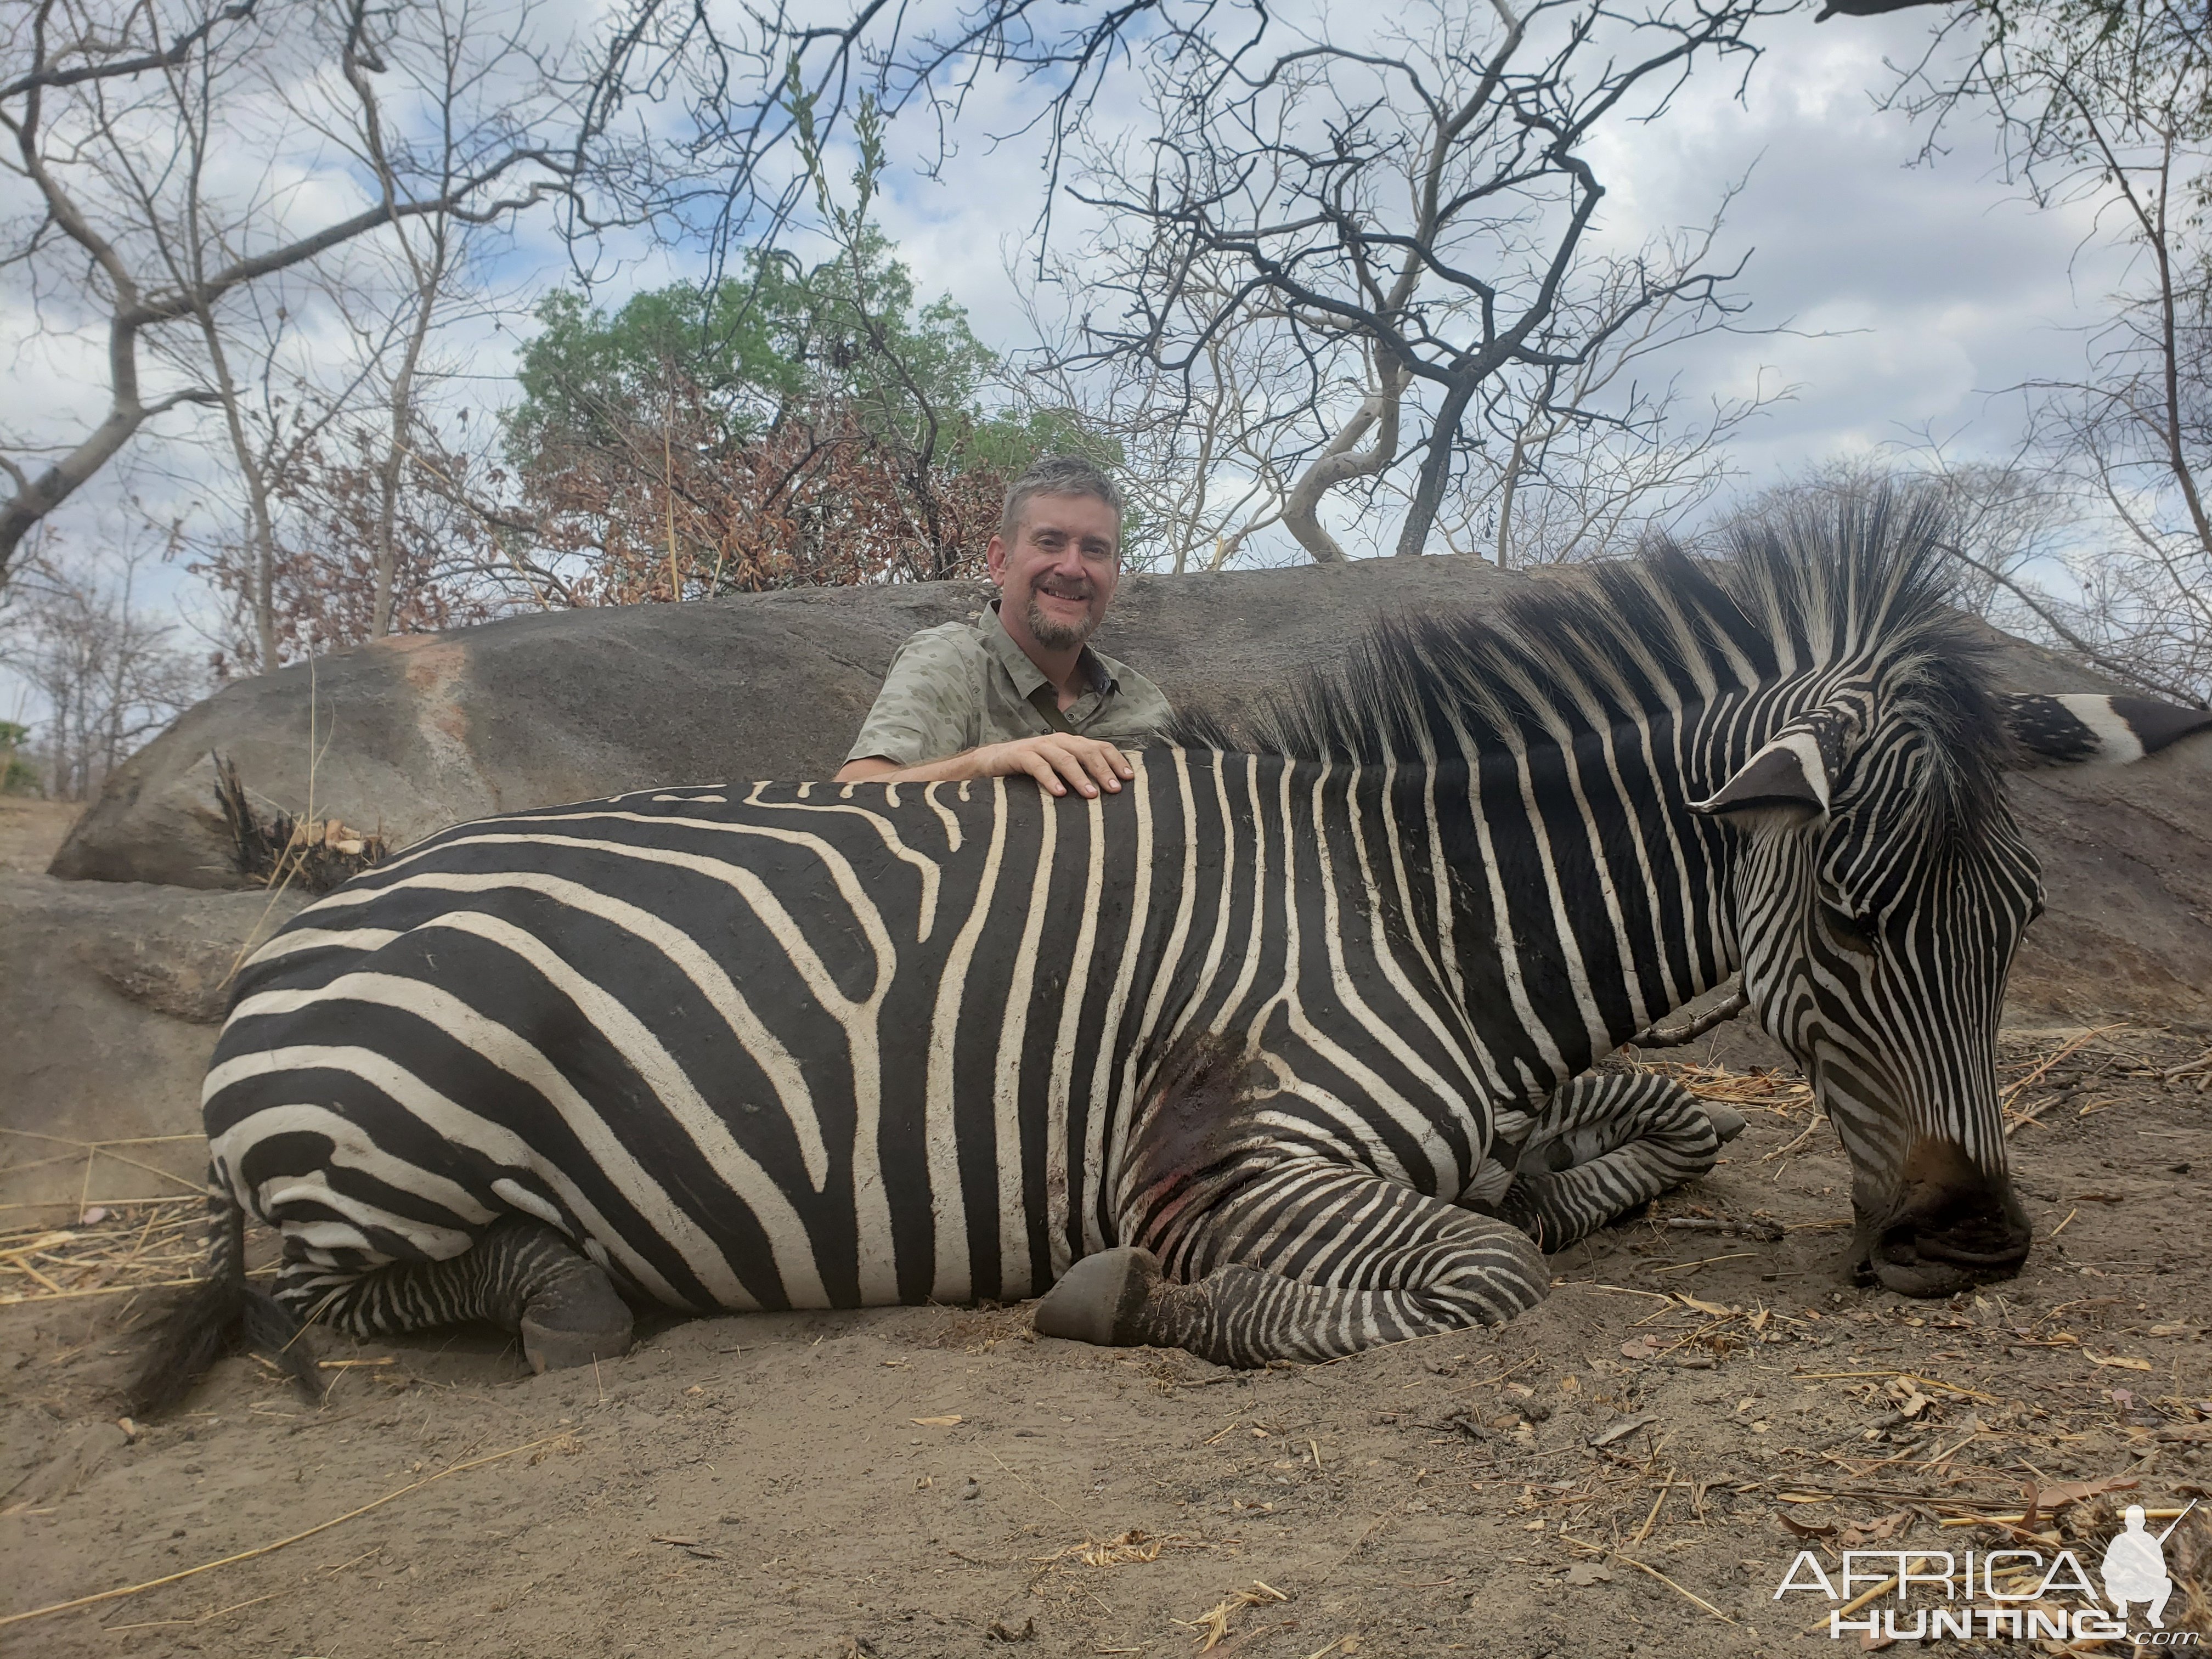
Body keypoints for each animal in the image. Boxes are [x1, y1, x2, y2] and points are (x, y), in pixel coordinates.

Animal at [129, 498, 2203, 1415]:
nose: (1975, 1245)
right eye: (1852, 918)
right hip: (407, 1133)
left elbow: (1664, 1132)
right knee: (330, 1302)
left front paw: (1575, 1169)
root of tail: (298, 934)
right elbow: (1479, 1274)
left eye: (2016, 925)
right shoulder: (1217, 1169)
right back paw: (560, 1290)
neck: (1427, 912)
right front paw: (1131, 1301)